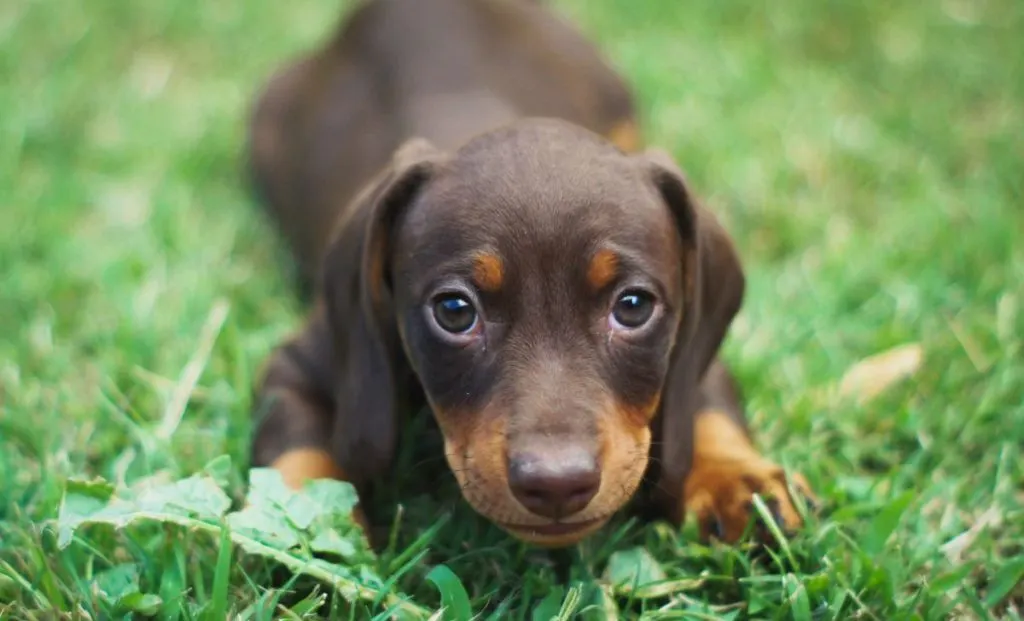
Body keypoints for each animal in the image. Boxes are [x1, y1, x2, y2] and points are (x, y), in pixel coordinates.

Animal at [243, 0, 811, 549]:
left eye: (633, 306)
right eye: (455, 311)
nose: (557, 484)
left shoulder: (690, 341)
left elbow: (708, 405)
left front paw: (736, 481)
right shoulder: (299, 365)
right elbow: (296, 458)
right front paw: (298, 530)